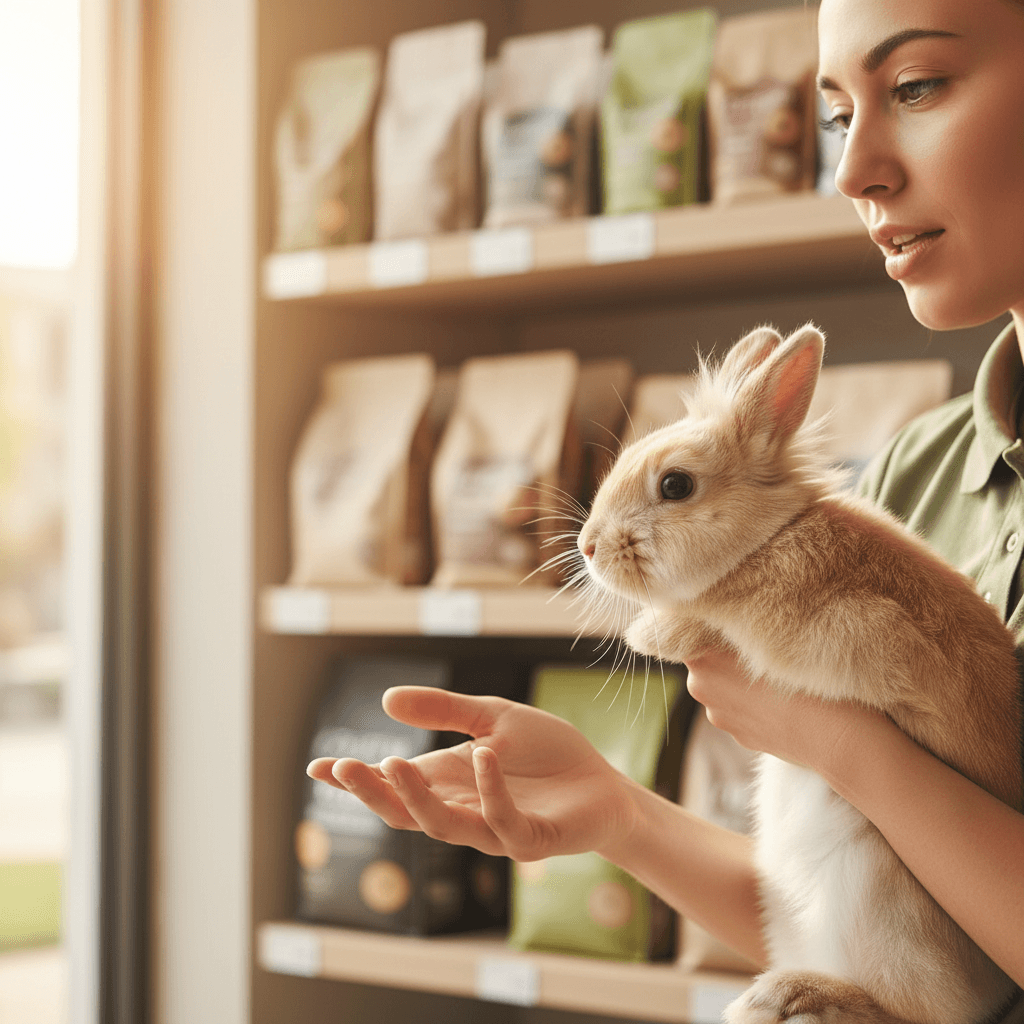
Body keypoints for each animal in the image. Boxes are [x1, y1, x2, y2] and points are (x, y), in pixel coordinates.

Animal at [574, 324, 1023, 1024]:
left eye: (675, 486)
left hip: (878, 887)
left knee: (920, 1010)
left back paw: (794, 995)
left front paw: (652, 632)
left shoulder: (857, 630)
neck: (764, 540)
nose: (588, 546)